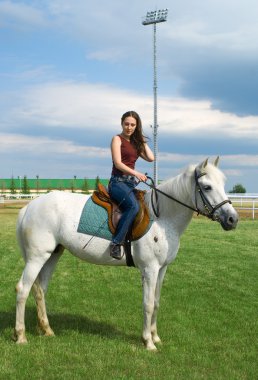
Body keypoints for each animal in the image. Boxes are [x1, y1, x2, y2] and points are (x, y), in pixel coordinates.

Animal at [13, 158, 238, 350]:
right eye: (207, 187)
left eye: (223, 183)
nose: (232, 219)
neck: (162, 219)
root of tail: (29, 207)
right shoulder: (150, 269)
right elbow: (148, 304)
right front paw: (148, 342)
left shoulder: (162, 269)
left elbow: (157, 302)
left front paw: (155, 336)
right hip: (37, 257)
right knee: (23, 289)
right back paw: (21, 335)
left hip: (53, 255)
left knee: (40, 290)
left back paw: (47, 330)